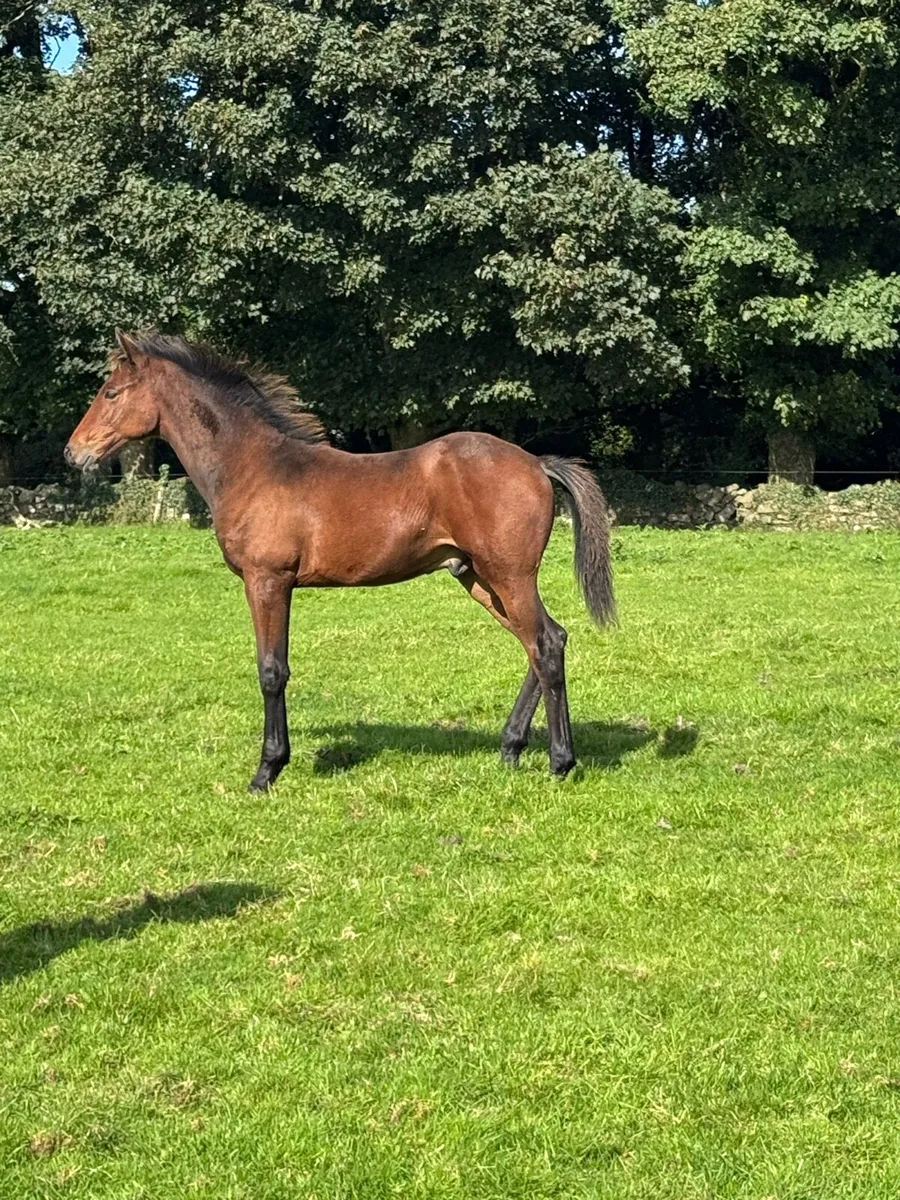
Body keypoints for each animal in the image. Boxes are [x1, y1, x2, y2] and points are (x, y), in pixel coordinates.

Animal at [65, 330, 615, 791]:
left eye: (111, 393)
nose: (74, 453)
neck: (253, 467)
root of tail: (536, 463)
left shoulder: (267, 580)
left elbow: (272, 670)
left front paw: (267, 771)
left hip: (509, 574)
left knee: (544, 645)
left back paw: (560, 762)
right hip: (477, 577)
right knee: (544, 640)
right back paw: (510, 749)